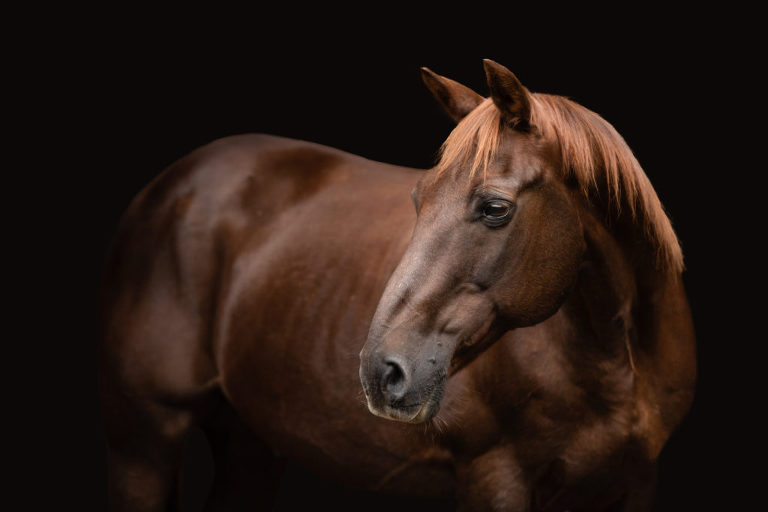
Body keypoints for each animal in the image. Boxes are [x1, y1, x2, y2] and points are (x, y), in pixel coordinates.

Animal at [97, 61, 696, 512]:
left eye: (494, 208)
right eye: (418, 197)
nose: (380, 372)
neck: (612, 362)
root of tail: (171, 186)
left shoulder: (636, 483)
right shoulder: (494, 478)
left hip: (250, 441)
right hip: (142, 448)